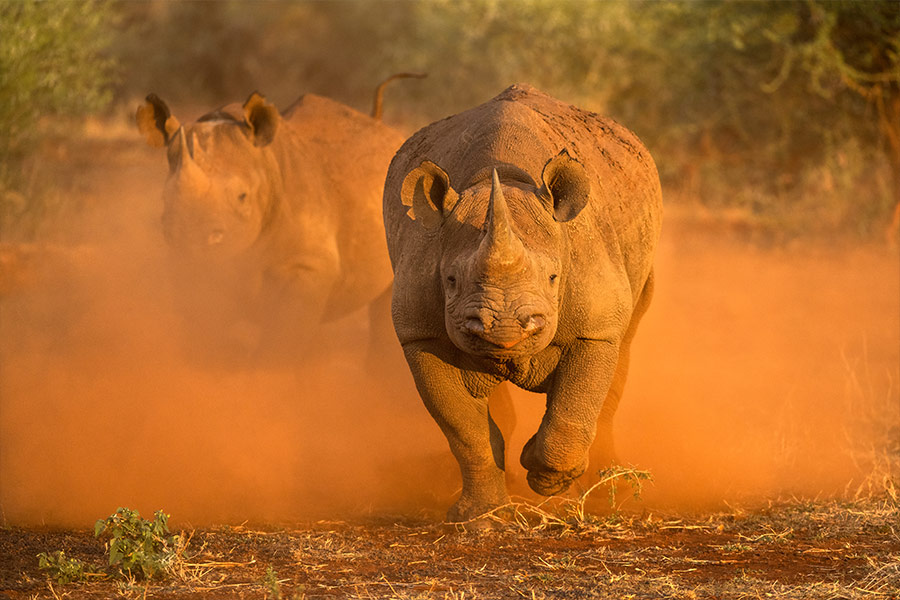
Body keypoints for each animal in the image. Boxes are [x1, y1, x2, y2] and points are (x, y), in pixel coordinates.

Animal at [383, 84, 662, 522]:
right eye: (450, 280)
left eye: (553, 279)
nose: (504, 327)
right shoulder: (420, 335)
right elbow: (465, 430)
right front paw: (480, 517)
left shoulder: (595, 329)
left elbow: (574, 405)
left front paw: (548, 478)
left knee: (625, 343)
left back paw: (606, 489)